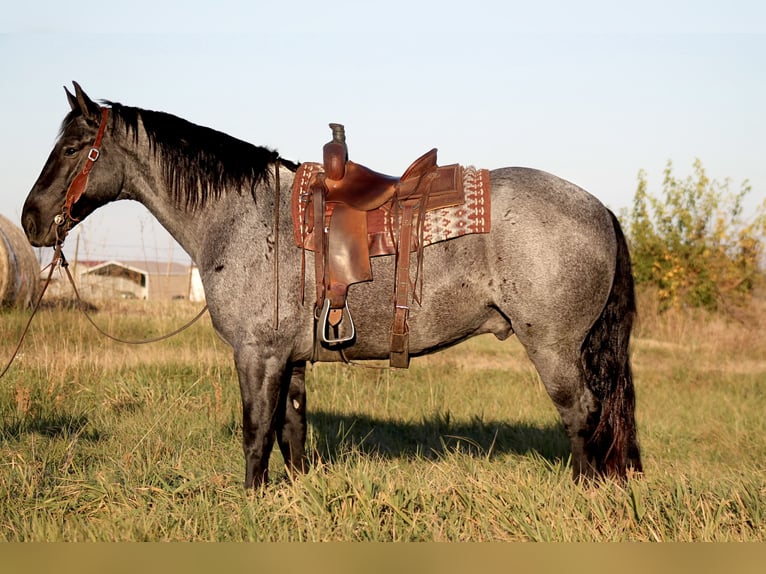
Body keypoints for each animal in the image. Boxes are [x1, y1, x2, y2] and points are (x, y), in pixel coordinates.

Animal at [21, 83, 644, 488]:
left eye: (73, 148)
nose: (30, 220)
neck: (246, 216)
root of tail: (599, 208)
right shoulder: (291, 358)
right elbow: (292, 430)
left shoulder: (257, 355)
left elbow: (256, 433)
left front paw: (251, 501)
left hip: (554, 347)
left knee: (583, 414)